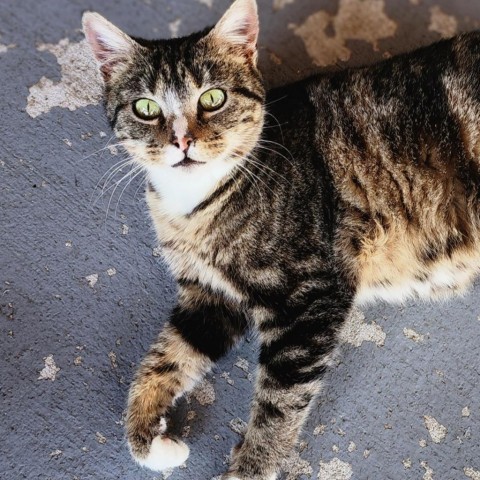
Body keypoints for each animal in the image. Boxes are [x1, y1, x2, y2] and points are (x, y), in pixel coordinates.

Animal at [84, 0, 480, 480]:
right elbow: (164, 359)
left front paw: (249, 467)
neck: (193, 207)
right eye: (145, 107)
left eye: (213, 98)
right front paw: (151, 439)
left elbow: (279, 402)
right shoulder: (209, 297)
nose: (182, 141)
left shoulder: (309, 296)